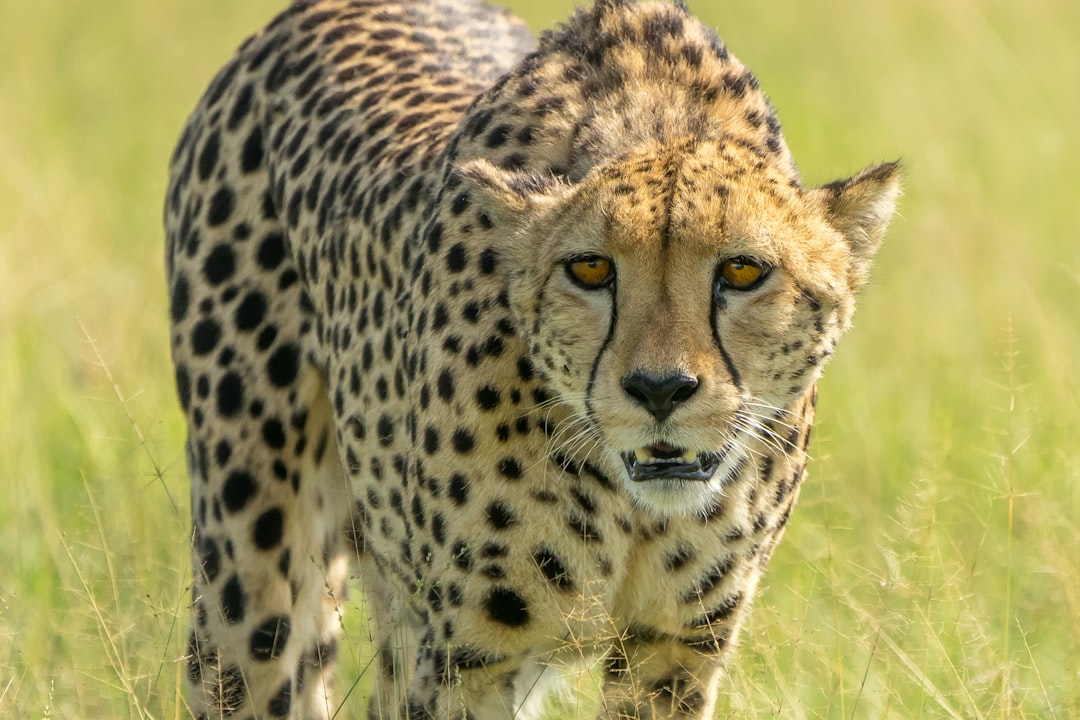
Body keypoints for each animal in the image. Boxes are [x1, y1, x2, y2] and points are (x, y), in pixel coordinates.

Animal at [164, 1, 898, 720]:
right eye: (590, 268)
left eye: (743, 271)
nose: (659, 390)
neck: (632, 507)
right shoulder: (466, 657)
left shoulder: (674, 652)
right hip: (251, 575)